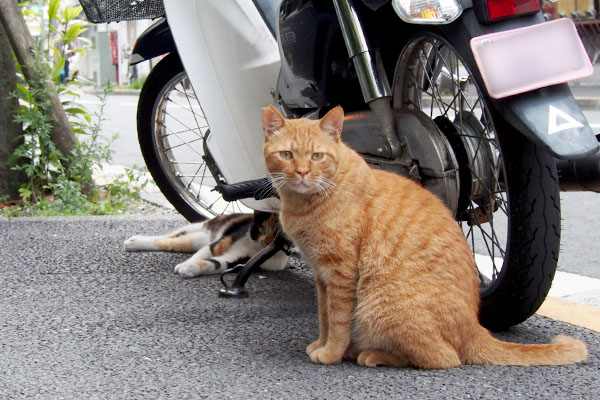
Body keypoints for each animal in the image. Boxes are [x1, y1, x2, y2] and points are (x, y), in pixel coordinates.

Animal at [123, 211, 288, 276]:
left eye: (277, 234)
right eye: (262, 229)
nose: (268, 242)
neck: (254, 247)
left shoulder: (239, 261)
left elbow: (215, 263)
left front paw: (189, 269)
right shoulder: (216, 245)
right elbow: (202, 254)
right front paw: (185, 265)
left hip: (198, 239)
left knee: (174, 242)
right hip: (202, 227)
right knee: (169, 236)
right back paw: (134, 241)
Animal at [262, 104, 584, 368]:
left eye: (317, 156)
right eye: (287, 155)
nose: (302, 172)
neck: (307, 202)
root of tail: (475, 328)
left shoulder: (340, 274)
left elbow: (338, 319)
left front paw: (331, 352)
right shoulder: (322, 276)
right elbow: (324, 316)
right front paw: (322, 343)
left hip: (380, 303)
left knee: (443, 358)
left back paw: (370, 354)